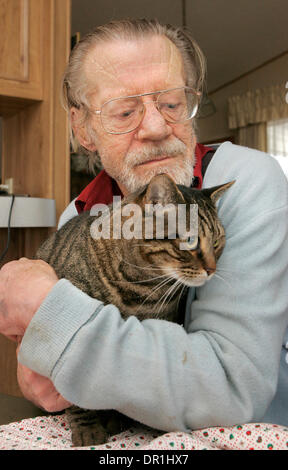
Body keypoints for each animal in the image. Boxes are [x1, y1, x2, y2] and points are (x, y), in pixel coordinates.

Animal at [36, 174, 234, 446]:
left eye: (216, 242)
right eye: (190, 240)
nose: (212, 269)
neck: (142, 289)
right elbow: (75, 397)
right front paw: (88, 428)